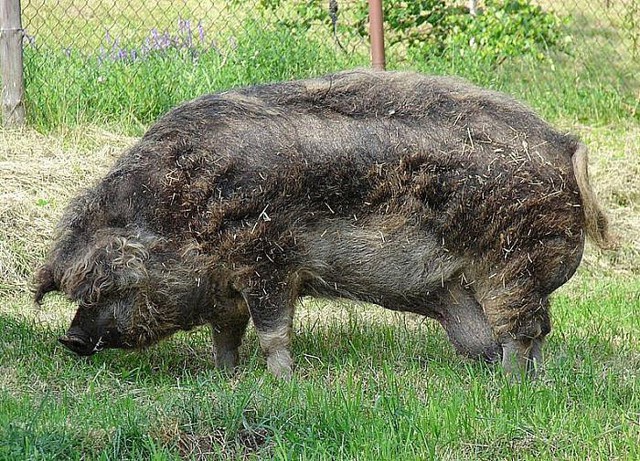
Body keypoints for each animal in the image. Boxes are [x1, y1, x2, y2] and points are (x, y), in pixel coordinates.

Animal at [34, 70, 611, 379]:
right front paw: (226, 376)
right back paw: (529, 379)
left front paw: (282, 383)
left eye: (114, 286)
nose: (71, 339)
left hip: (514, 265)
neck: (186, 215)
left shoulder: (269, 263)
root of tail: (566, 148)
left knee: (520, 331)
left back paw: (509, 384)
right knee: (528, 332)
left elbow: (273, 331)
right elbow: (227, 333)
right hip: (488, 284)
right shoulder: (227, 289)